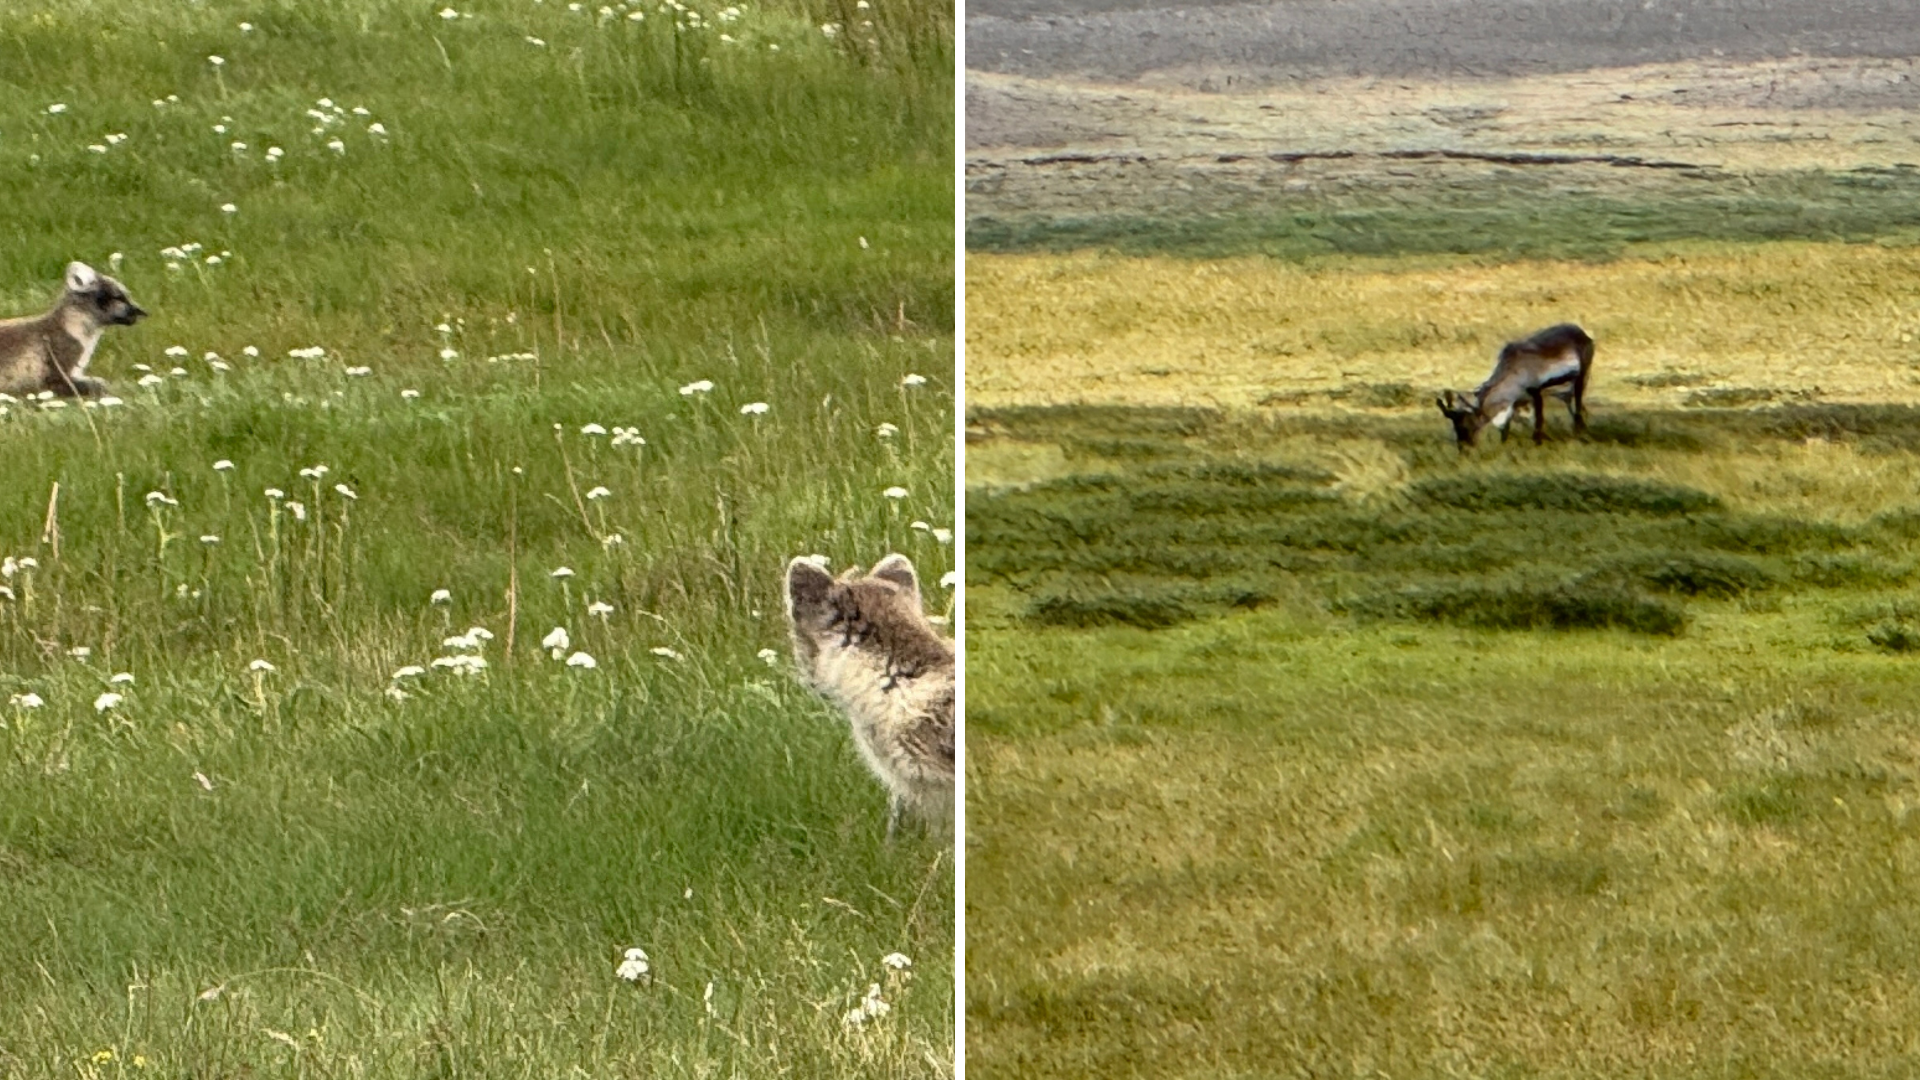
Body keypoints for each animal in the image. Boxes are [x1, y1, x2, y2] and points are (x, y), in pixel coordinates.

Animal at [1437, 323, 1594, 447]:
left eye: (1463, 422)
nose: (1463, 447)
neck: (1512, 368)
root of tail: (1581, 332)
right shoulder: (1516, 403)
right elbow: (1506, 427)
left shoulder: (1536, 394)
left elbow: (1538, 420)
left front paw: (1537, 443)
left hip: (1581, 378)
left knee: (1578, 406)